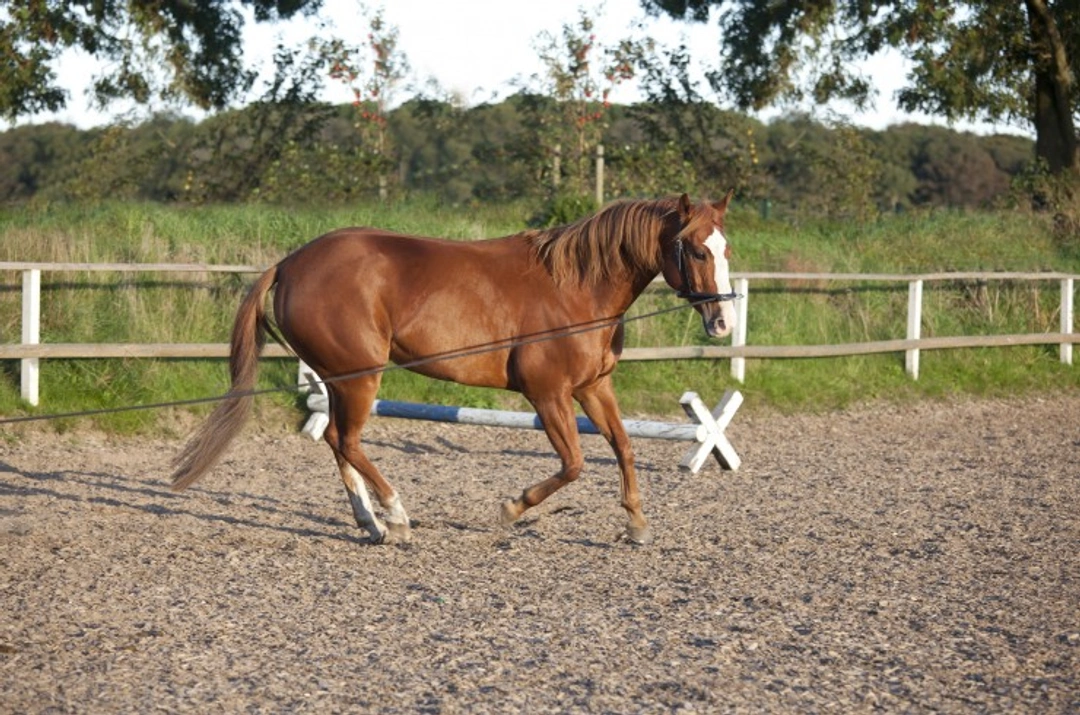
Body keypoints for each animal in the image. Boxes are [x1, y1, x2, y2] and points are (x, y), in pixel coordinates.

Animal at [171, 192, 738, 545]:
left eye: (726, 247)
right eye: (694, 249)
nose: (722, 321)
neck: (576, 287)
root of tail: (290, 263)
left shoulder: (593, 387)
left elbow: (623, 446)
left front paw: (637, 524)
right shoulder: (548, 393)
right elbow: (574, 463)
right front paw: (512, 508)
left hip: (339, 378)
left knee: (336, 441)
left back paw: (371, 523)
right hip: (360, 377)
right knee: (347, 441)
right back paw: (397, 517)